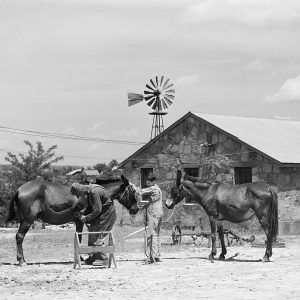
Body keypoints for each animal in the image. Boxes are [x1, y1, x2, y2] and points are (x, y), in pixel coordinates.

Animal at [5, 175, 139, 266]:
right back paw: (22, 260)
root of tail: (19, 189)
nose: (136, 209)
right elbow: (80, 238)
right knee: (19, 236)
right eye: (133, 192)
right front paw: (84, 258)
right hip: (27, 220)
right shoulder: (80, 221)